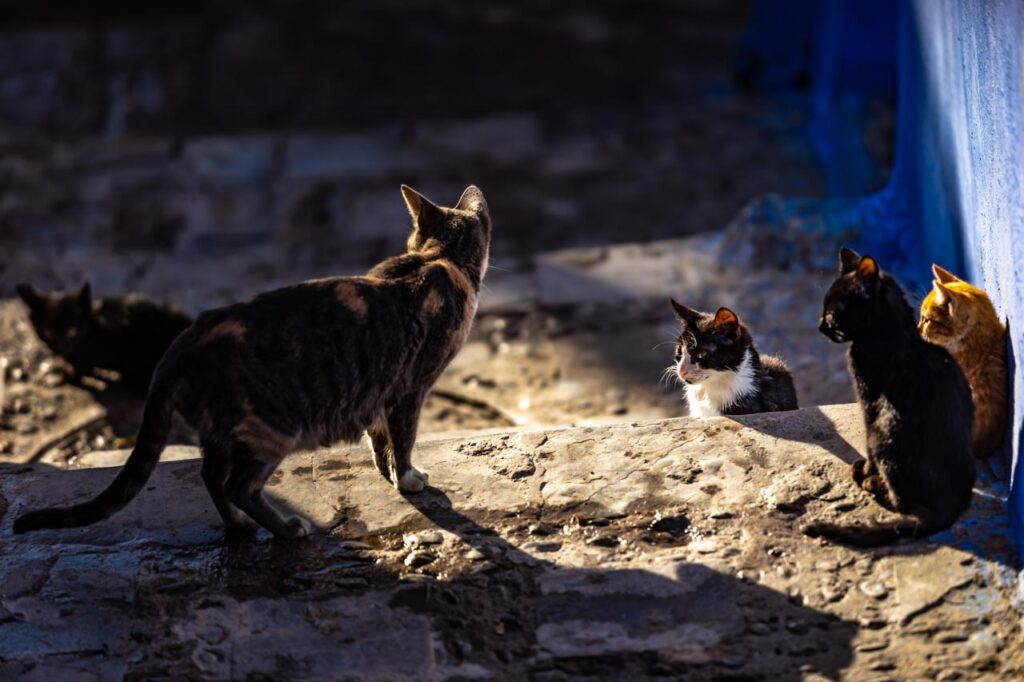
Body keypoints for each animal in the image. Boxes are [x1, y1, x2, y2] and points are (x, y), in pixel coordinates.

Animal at [14, 280, 192, 387]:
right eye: (49, 332)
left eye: (74, 330)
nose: (67, 344)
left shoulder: (83, 359)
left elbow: (76, 372)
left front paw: (64, 374)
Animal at [798, 246, 974, 544]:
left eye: (832, 313)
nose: (820, 325)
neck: (898, 336)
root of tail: (945, 511)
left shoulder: (868, 400)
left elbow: (867, 445)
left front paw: (867, 470)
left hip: (883, 431)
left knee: (899, 502)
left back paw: (868, 479)